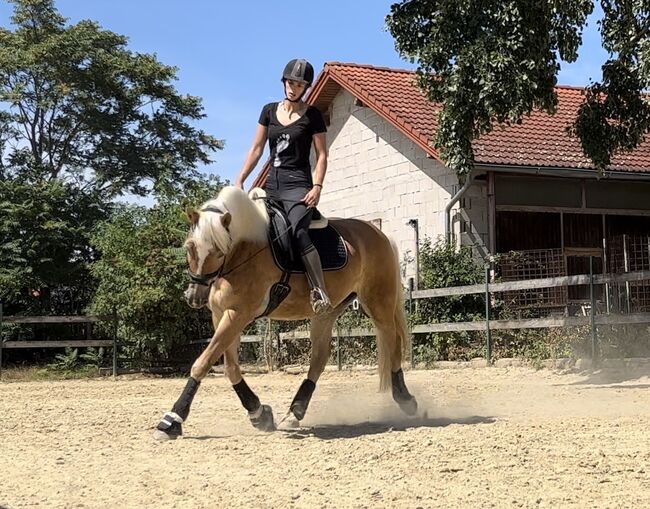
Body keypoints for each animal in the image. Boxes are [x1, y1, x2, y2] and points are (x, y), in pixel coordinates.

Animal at [152, 185, 416, 438]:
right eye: (190, 247)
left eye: (218, 250)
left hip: (378, 303)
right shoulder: (220, 315)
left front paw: (172, 420)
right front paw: (259, 414)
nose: (194, 296)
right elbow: (230, 367)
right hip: (326, 313)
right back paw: (295, 411)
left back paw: (405, 398)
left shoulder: (238, 314)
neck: (244, 250)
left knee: (392, 341)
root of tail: (379, 233)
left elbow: (203, 362)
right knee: (320, 358)